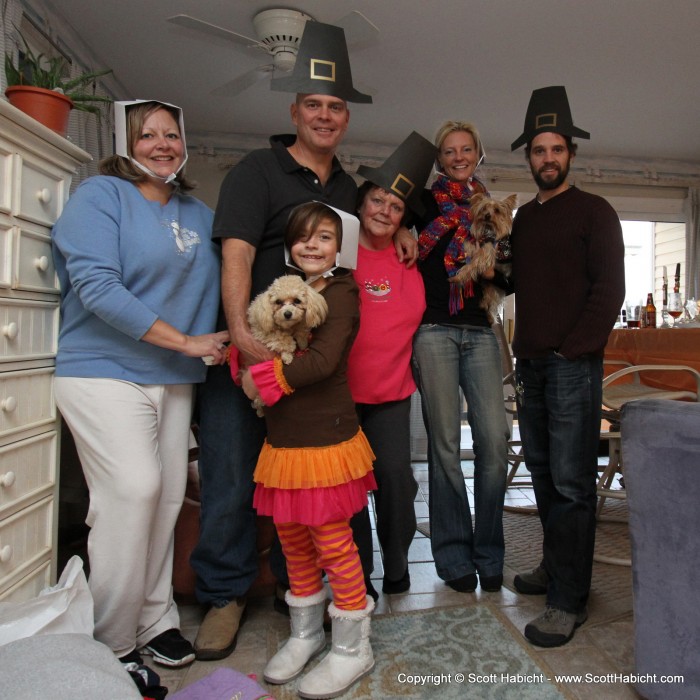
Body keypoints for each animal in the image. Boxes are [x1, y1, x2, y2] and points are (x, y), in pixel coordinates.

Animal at [246, 274, 328, 412]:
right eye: (278, 302)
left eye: (297, 301)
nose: (287, 313)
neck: (288, 327)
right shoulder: (260, 330)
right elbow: (280, 337)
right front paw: (288, 353)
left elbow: (301, 331)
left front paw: (302, 341)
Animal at [452, 191, 516, 322]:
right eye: (483, 208)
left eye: (497, 210)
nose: (487, 215)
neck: (488, 230)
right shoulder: (480, 245)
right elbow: (470, 248)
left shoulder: (487, 253)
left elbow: (472, 265)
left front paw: (458, 277)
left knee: (493, 301)